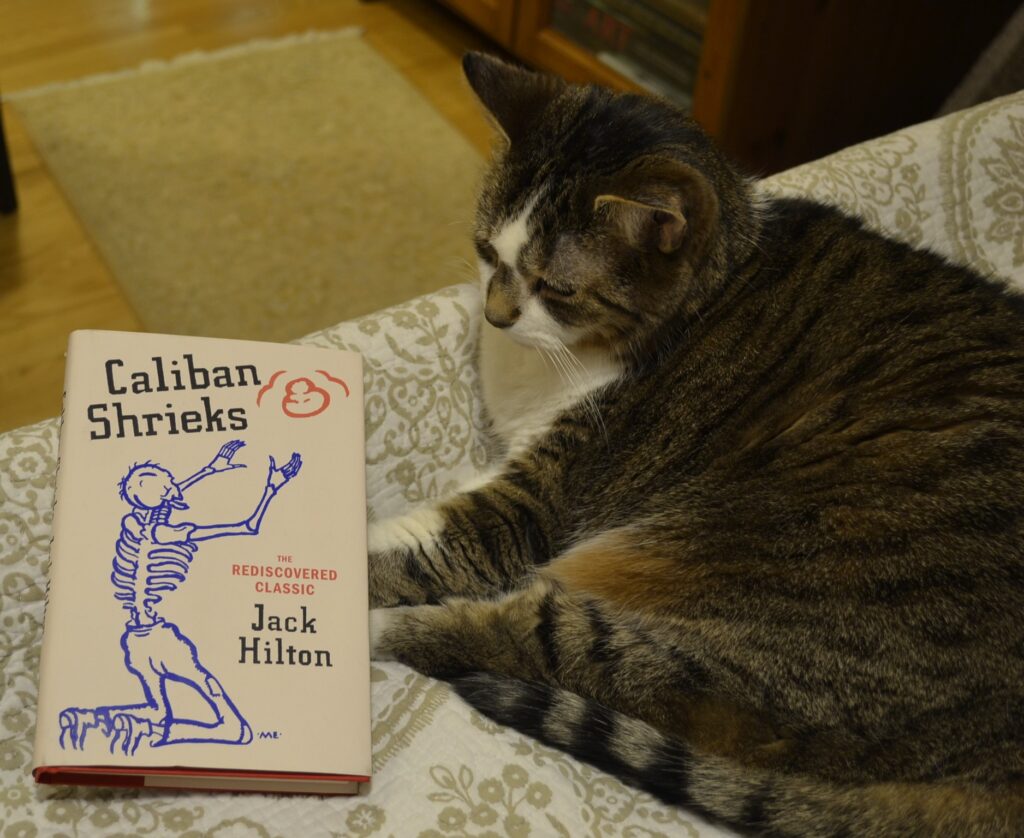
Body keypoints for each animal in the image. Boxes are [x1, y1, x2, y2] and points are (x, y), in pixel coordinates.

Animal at [368, 55, 1024, 831]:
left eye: (557, 288)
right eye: (483, 252)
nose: (497, 317)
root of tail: (996, 773)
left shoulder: (530, 509)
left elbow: (420, 543)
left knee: (555, 646)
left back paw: (385, 631)